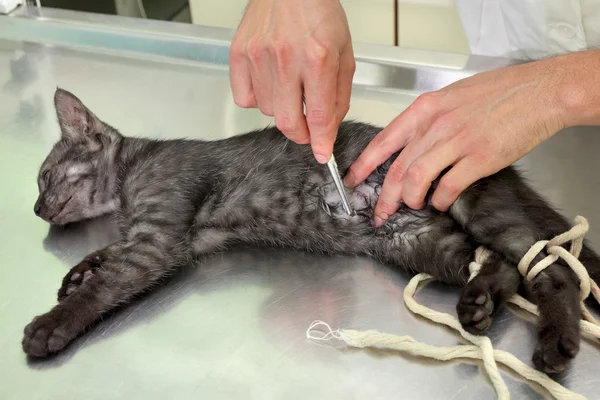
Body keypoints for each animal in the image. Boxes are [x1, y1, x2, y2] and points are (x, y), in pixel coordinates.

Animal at [22, 87, 600, 376]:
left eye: (45, 177)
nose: (34, 208)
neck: (128, 178)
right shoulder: (161, 237)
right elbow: (108, 258)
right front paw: (77, 273)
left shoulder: (158, 238)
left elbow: (110, 283)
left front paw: (52, 323)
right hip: (420, 242)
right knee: (500, 263)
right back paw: (479, 303)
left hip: (467, 201)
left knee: (551, 271)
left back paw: (556, 344)